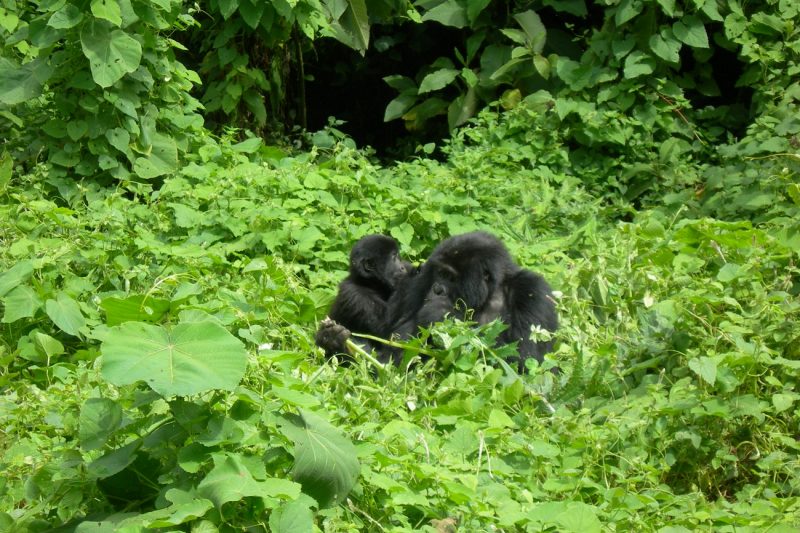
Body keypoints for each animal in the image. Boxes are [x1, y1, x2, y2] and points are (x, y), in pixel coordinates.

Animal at [386, 231, 560, 372]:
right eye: (440, 273)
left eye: (450, 277)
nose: (436, 289)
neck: (491, 291)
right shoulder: (424, 275)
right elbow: (399, 334)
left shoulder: (533, 291)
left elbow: (526, 359)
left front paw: (441, 313)